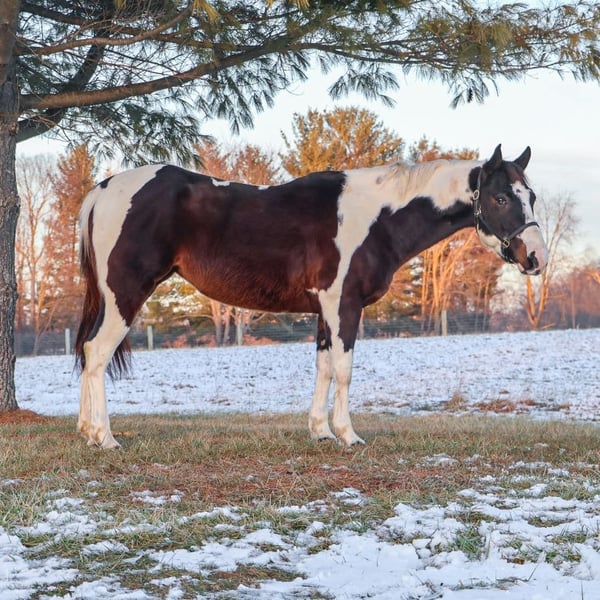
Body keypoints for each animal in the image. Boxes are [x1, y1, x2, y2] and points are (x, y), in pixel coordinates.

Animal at [75, 144, 548, 449]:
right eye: (500, 197)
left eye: (531, 195)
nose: (536, 258)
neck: (376, 216)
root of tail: (104, 189)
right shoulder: (344, 306)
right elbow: (343, 371)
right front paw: (349, 435)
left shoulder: (325, 310)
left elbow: (322, 368)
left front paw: (320, 432)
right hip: (126, 295)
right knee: (97, 353)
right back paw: (105, 437)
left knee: (87, 350)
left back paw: (85, 430)